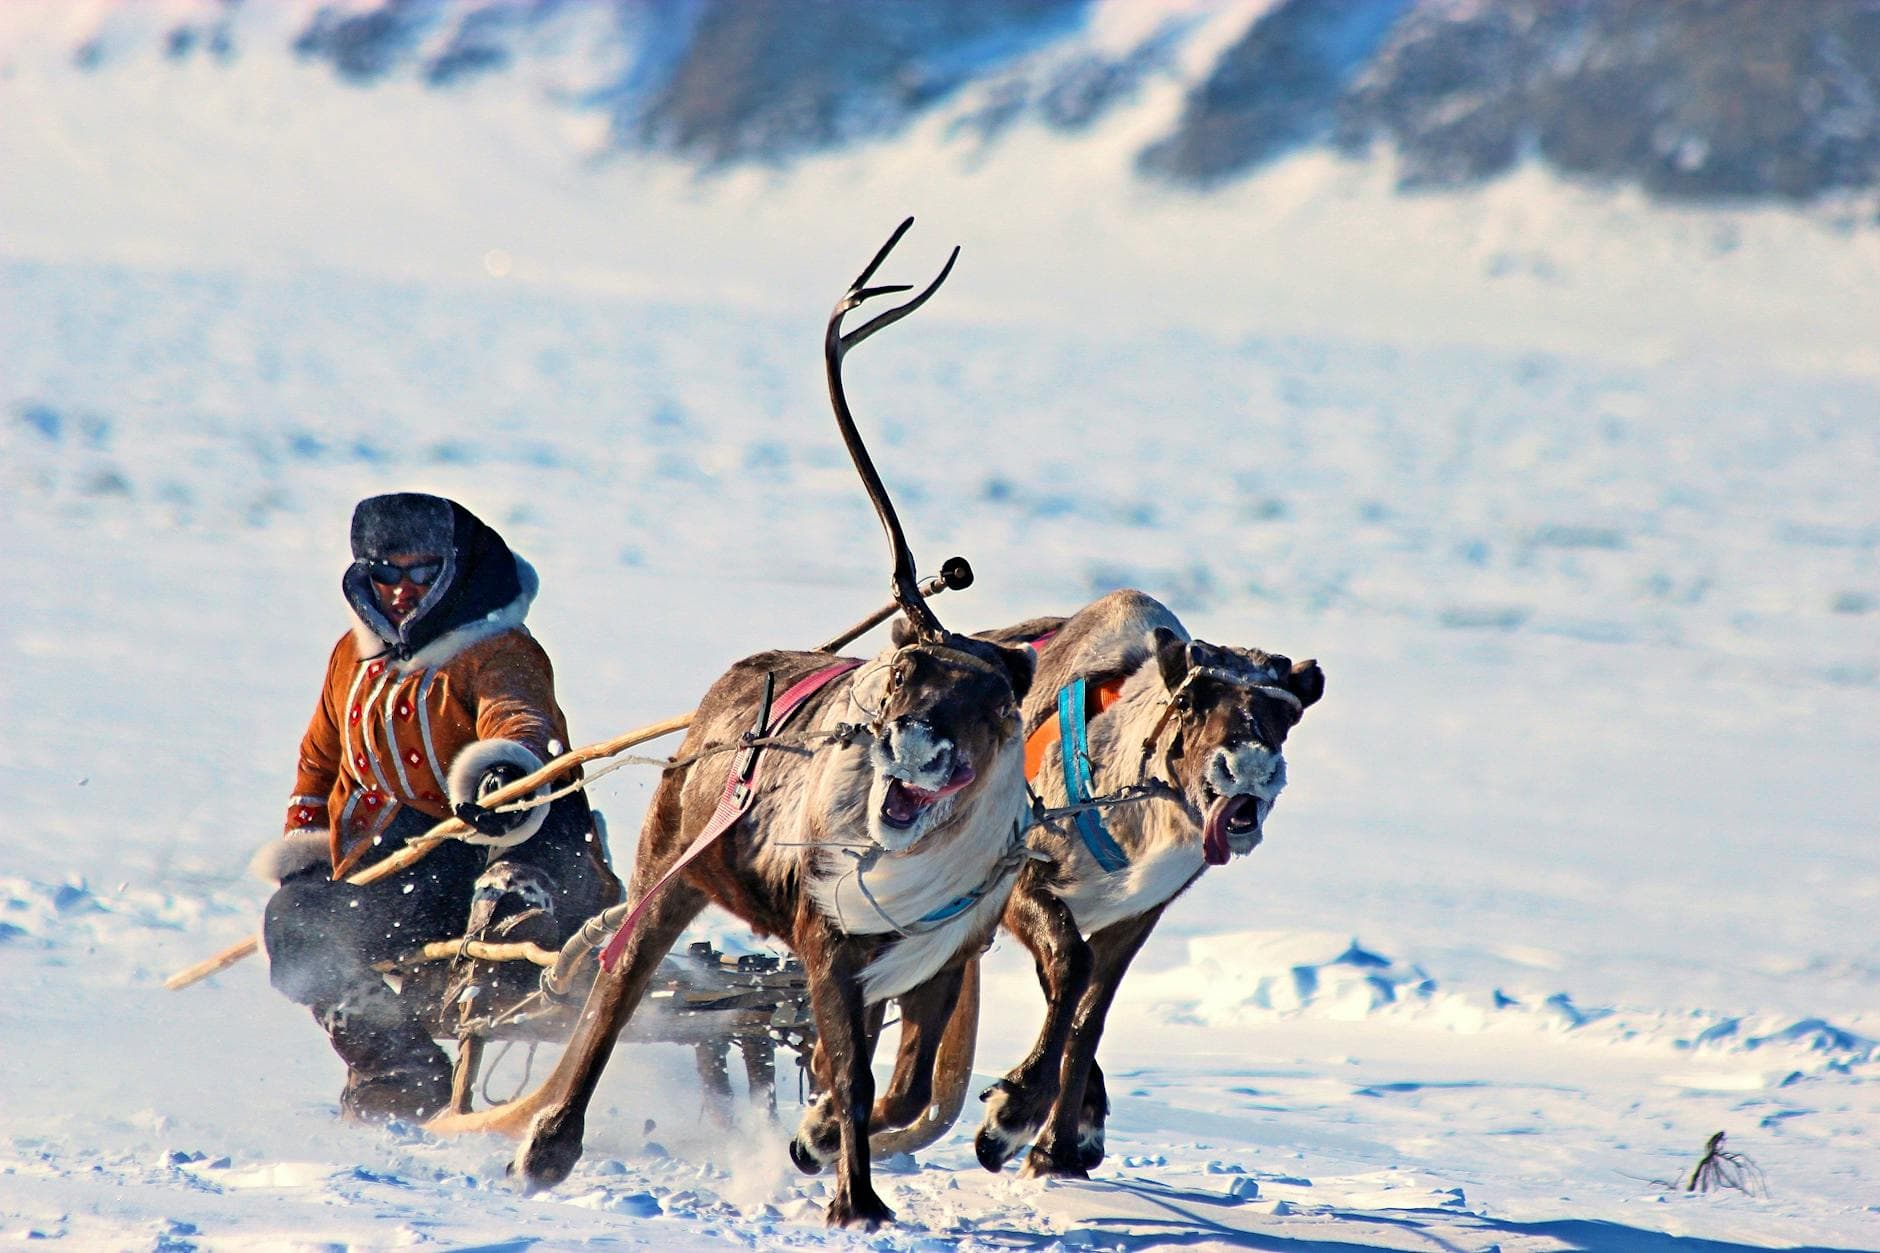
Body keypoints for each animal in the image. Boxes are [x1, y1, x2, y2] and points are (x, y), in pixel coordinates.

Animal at [423, 221, 1037, 1230]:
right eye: (908, 667)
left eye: (996, 701)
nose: (915, 738)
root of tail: (727, 682)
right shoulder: (829, 943)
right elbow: (854, 1079)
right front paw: (854, 1201)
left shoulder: (944, 952)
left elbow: (895, 1085)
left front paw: (815, 1140)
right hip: (669, 863)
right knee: (615, 986)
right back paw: (544, 1146)